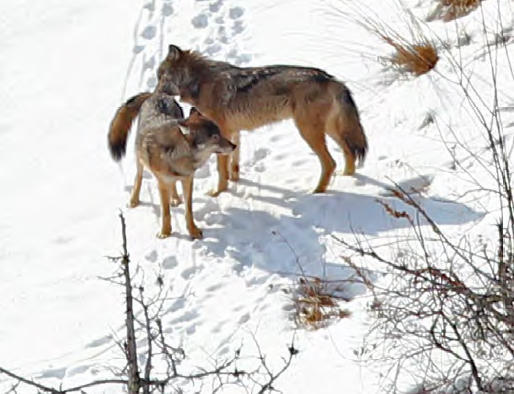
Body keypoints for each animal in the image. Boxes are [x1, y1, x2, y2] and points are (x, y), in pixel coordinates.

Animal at [109, 92, 236, 240]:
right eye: (215, 137)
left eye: (220, 133)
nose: (234, 146)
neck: (178, 157)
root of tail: (157, 94)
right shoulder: (161, 183)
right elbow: (166, 212)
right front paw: (165, 232)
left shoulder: (188, 179)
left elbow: (188, 210)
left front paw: (193, 231)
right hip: (140, 158)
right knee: (139, 177)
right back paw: (134, 200)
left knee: (173, 185)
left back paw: (175, 199)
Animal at [154, 44, 366, 195]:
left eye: (160, 77)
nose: (155, 93)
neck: (199, 82)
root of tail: (331, 78)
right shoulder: (233, 132)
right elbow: (234, 162)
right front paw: (235, 181)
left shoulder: (221, 133)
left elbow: (221, 169)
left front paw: (218, 192)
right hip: (329, 129)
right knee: (349, 152)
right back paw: (348, 179)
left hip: (308, 131)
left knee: (330, 162)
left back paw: (315, 192)